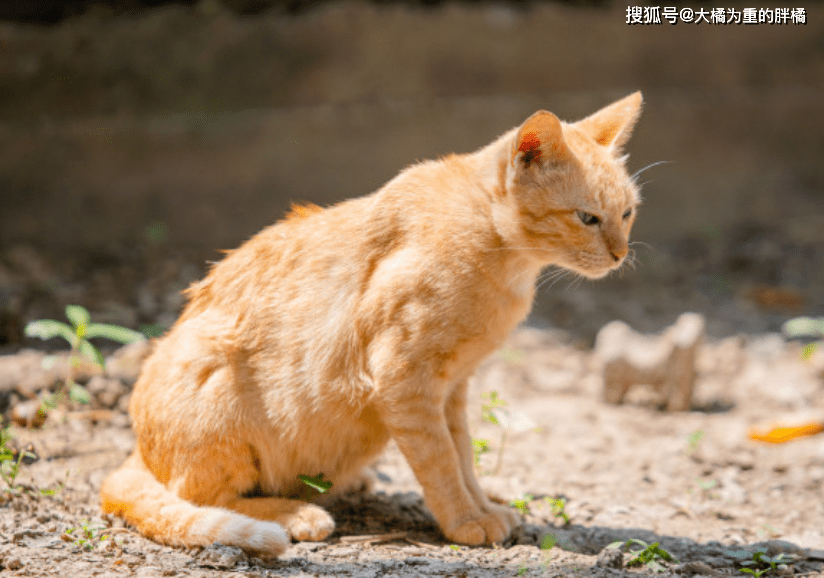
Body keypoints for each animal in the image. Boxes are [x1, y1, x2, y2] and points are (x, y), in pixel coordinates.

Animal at [101, 92, 644, 556]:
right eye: (587, 218)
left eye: (627, 213)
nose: (621, 255)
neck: (502, 257)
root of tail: (135, 448)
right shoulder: (405, 380)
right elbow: (441, 462)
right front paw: (465, 521)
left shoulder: (452, 388)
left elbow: (463, 457)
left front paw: (484, 507)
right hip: (214, 374)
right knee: (200, 496)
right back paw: (297, 513)